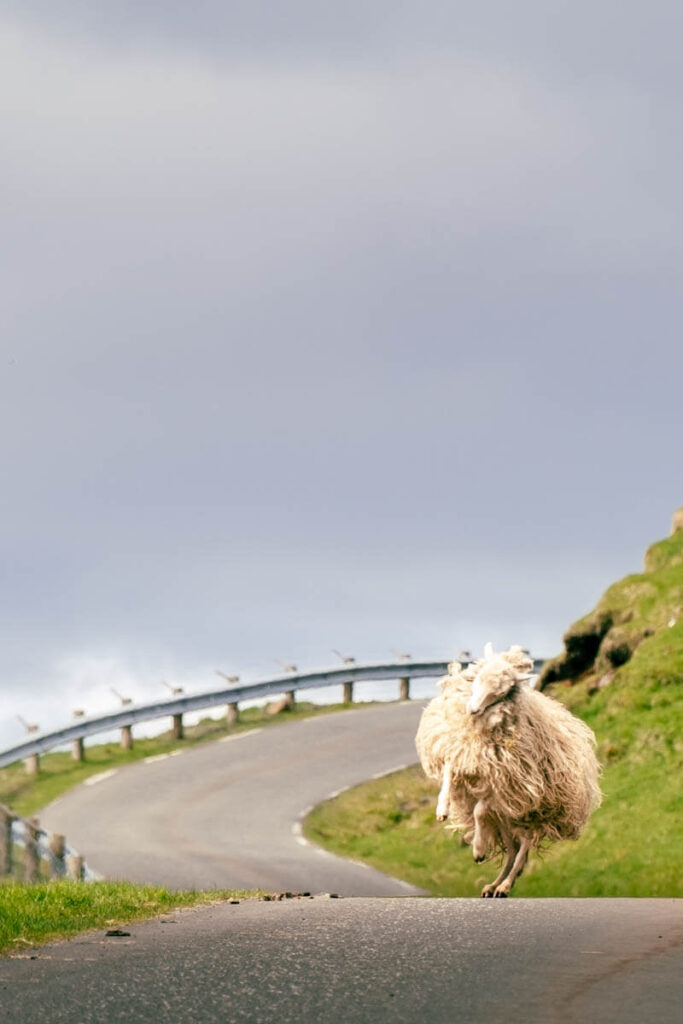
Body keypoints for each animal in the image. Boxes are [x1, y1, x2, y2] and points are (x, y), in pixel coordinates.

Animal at [417, 643, 602, 901]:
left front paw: (479, 849)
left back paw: (504, 885)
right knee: (513, 851)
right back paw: (494, 886)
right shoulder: (463, 753)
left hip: (532, 815)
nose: (472, 709)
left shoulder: (503, 785)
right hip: (508, 822)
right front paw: (442, 810)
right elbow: (448, 775)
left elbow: (480, 810)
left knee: (523, 851)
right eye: (478, 678)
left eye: (502, 690)